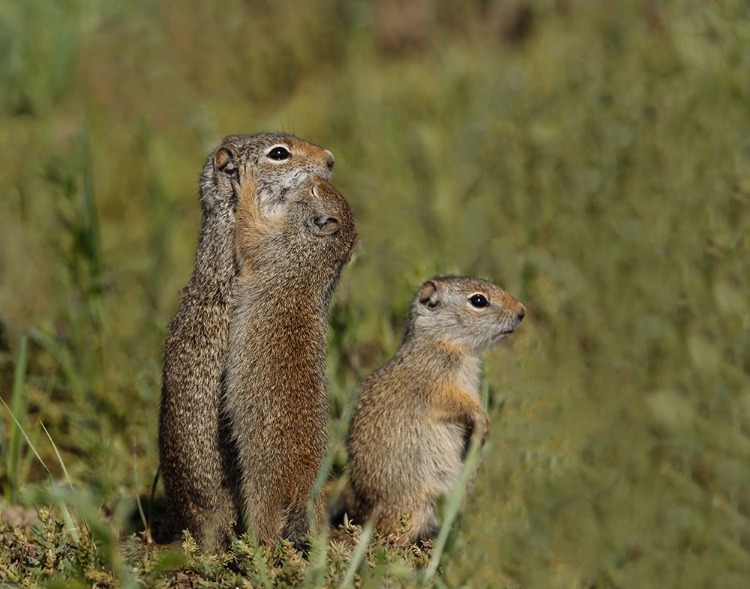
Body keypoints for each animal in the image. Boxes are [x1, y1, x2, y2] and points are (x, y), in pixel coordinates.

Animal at [223, 171, 358, 552]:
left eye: (313, 190)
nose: (314, 176)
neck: (314, 256)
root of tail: (302, 485)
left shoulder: (275, 245)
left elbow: (249, 233)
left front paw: (246, 185)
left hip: (259, 488)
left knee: (266, 524)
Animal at [344, 274, 524, 544]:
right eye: (478, 300)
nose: (522, 311)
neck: (442, 341)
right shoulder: (439, 387)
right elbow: (461, 405)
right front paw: (483, 423)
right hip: (417, 506)